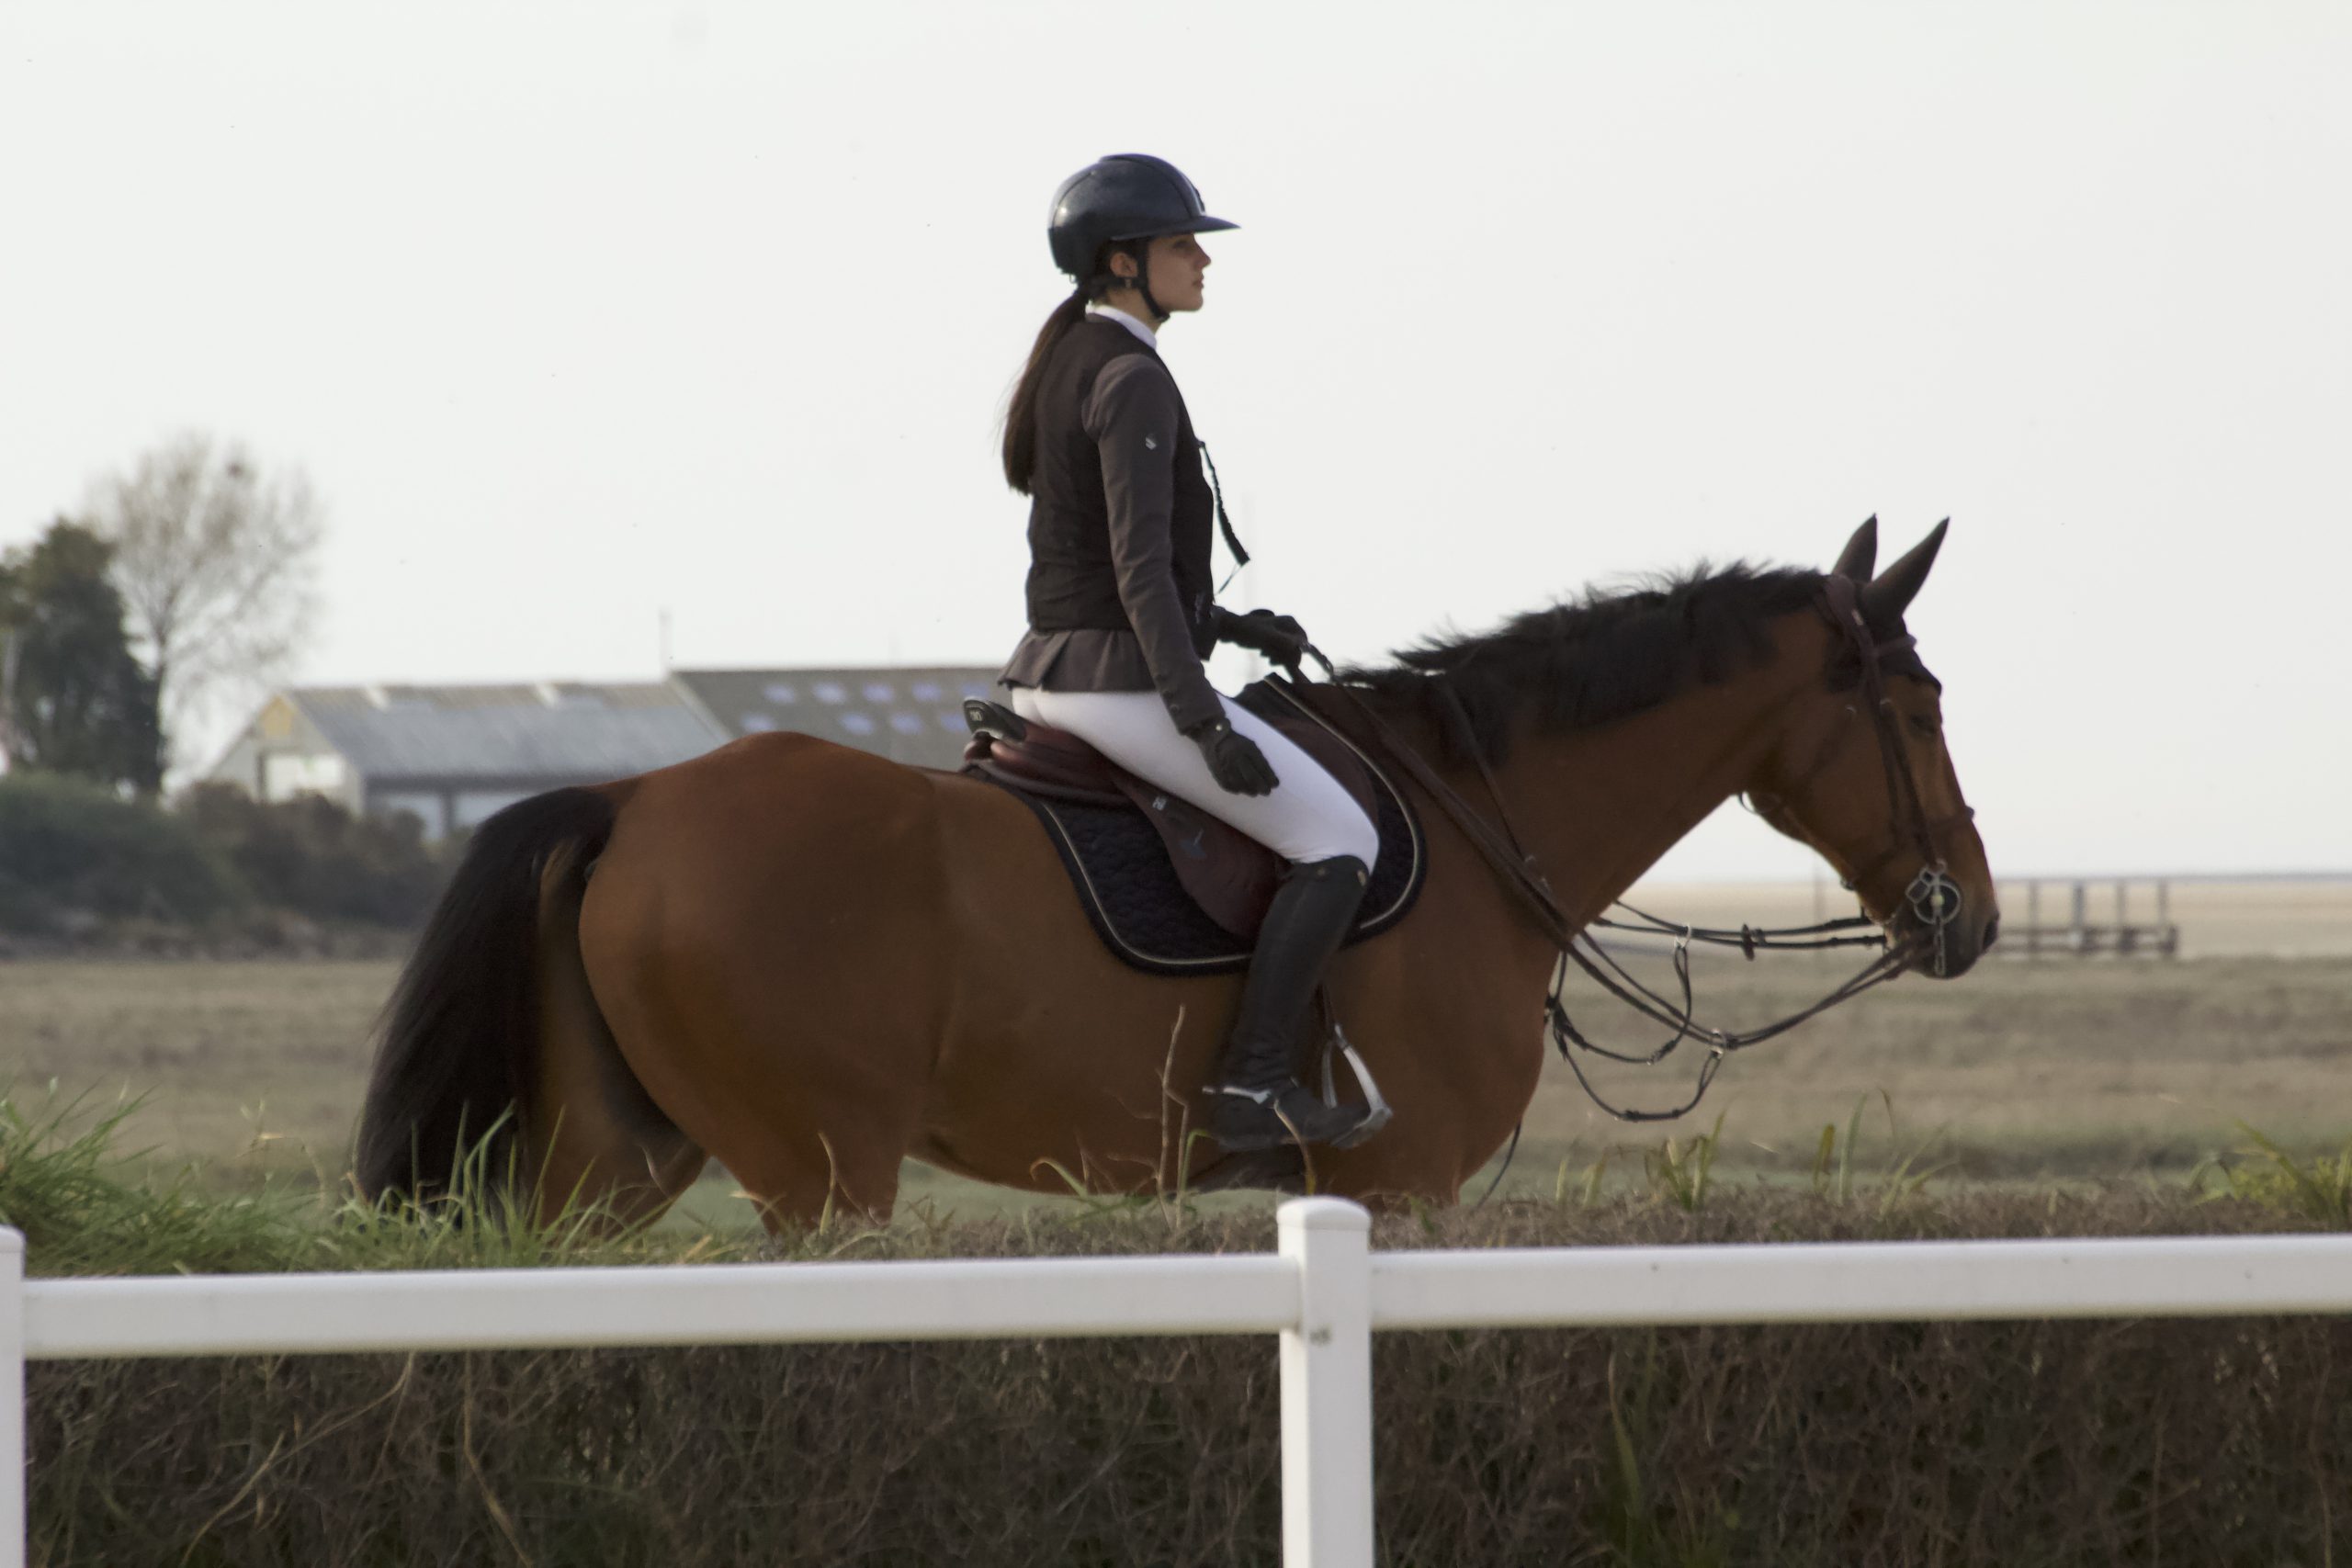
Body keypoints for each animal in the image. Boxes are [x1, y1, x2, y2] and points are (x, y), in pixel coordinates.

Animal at [355, 519, 1996, 1230]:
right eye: (1918, 708)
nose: (1969, 915)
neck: (1482, 818)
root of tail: (632, 796)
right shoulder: (1404, 1184)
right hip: (824, 1173)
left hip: (608, 1167)